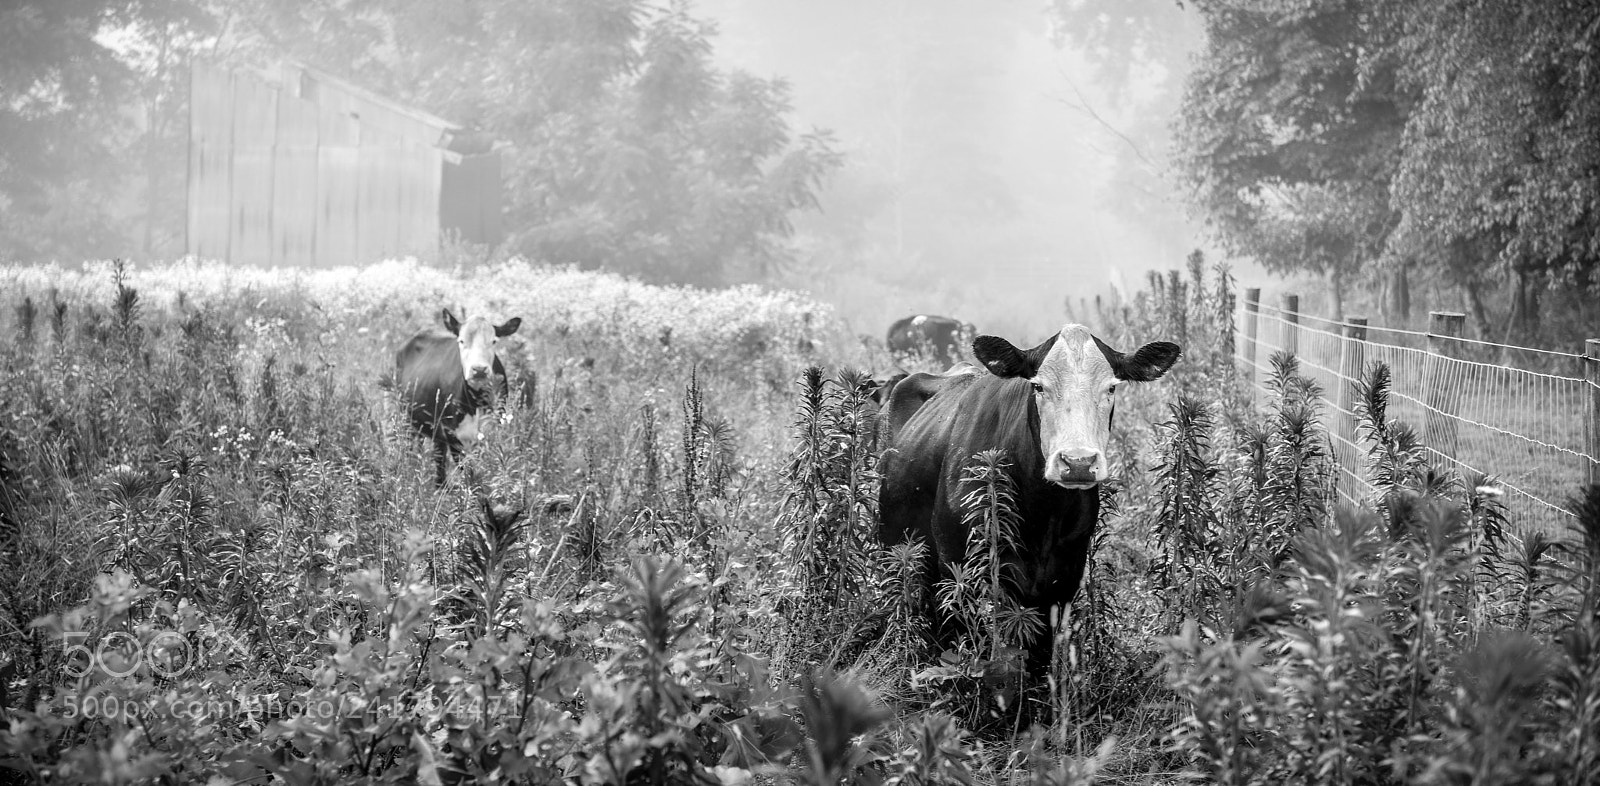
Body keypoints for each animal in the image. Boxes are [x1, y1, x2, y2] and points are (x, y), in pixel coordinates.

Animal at [395, 308, 522, 486]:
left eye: (493, 341)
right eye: (461, 341)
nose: (479, 369)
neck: (475, 402)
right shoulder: (452, 434)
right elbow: (468, 475)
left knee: (438, 458)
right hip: (407, 418)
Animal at [878, 324, 1180, 691]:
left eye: (1111, 387)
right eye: (1038, 386)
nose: (1078, 463)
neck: (1042, 515)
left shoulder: (1064, 578)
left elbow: (1038, 654)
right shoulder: (957, 566)